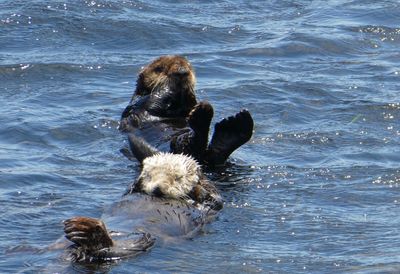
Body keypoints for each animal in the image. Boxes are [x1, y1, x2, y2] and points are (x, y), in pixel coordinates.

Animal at [64, 134, 223, 262]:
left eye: (177, 178)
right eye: (149, 175)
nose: (158, 189)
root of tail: (82, 251)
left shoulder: (211, 204)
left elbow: (213, 199)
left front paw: (199, 188)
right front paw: (137, 182)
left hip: (145, 239)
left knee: (110, 250)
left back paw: (88, 231)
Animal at [119, 54, 255, 166]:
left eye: (189, 67)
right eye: (159, 69)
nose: (182, 72)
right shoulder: (138, 102)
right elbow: (152, 100)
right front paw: (173, 84)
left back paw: (233, 126)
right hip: (174, 147)